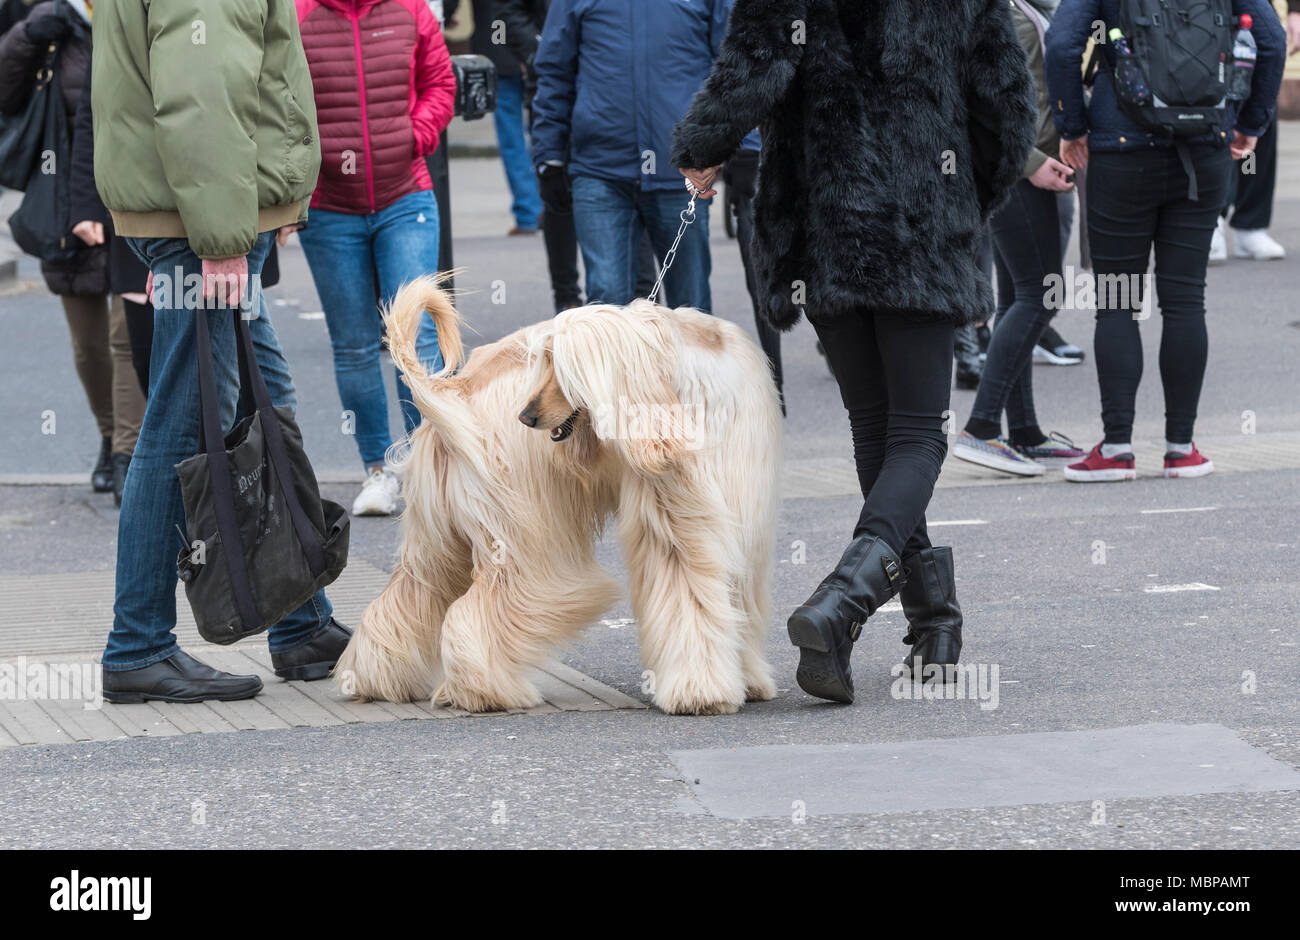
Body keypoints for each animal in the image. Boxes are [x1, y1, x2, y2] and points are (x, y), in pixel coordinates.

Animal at [335, 275, 780, 717]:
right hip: (527, 533)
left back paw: (377, 679)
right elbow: (689, 594)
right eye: (543, 360)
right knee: (485, 606)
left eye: (559, 365)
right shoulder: (676, 520)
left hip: (437, 537)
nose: (525, 416)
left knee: (411, 593)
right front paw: (700, 690)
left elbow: (735, 591)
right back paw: (485, 690)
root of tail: (456, 388)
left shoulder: (741, 511)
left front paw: (747, 679)